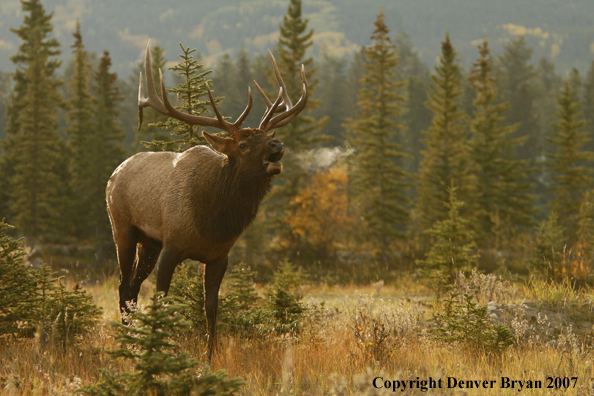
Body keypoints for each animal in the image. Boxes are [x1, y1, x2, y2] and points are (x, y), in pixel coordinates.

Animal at [106, 41, 308, 360]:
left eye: (267, 137)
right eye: (243, 144)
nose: (278, 145)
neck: (213, 222)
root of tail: (113, 175)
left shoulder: (219, 256)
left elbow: (211, 308)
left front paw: (210, 356)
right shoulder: (172, 246)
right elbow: (163, 301)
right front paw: (163, 349)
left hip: (149, 242)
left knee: (133, 289)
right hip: (123, 229)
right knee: (123, 287)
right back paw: (129, 343)